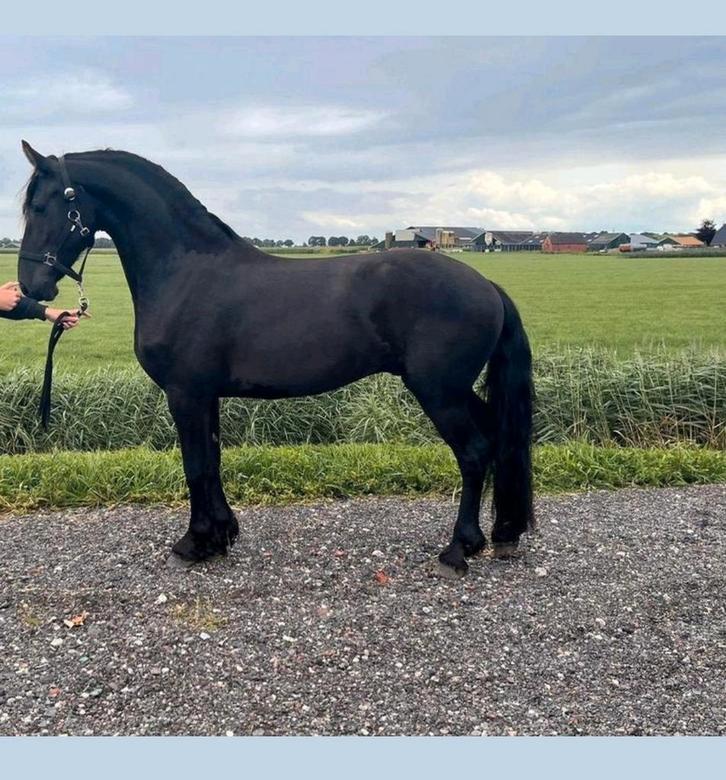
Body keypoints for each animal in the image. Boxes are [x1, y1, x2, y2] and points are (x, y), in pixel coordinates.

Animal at [17, 141, 534, 576]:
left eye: (41, 206)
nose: (30, 288)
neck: (186, 272)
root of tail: (486, 285)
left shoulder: (185, 394)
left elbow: (195, 465)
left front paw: (194, 543)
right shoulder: (205, 396)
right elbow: (212, 460)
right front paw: (221, 534)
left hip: (439, 392)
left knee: (474, 452)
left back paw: (458, 549)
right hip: (457, 391)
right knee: (495, 441)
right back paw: (500, 535)